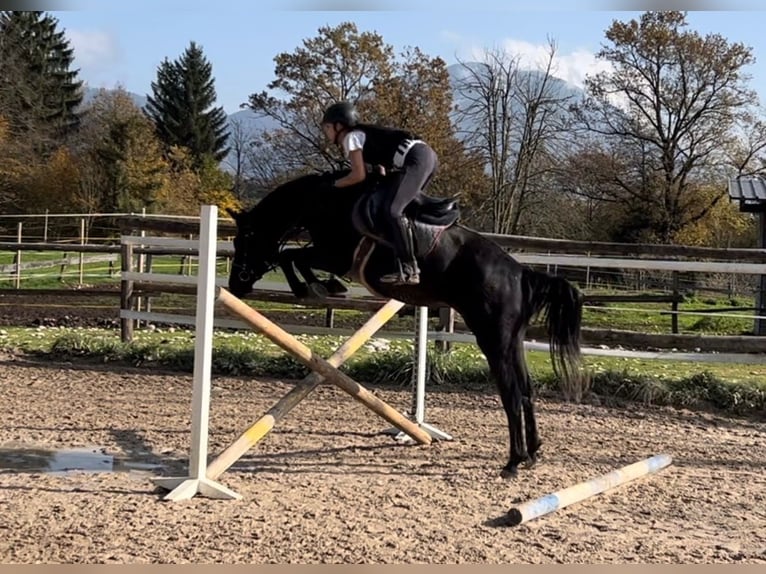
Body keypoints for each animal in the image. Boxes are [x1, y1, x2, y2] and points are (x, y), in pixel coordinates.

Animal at [225, 172, 584, 482]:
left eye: (245, 239)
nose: (236, 285)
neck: (326, 201)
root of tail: (521, 273)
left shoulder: (335, 255)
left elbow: (291, 256)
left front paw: (314, 288)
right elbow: (292, 257)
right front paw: (322, 287)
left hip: (492, 338)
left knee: (510, 393)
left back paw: (512, 461)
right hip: (512, 341)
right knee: (525, 390)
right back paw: (532, 453)